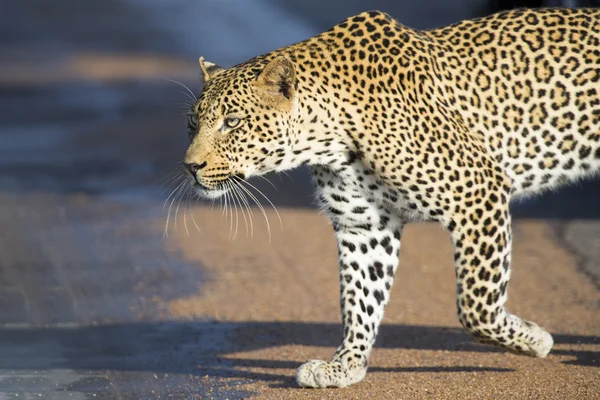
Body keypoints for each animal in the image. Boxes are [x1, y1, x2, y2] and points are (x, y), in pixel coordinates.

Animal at [180, 6, 600, 388]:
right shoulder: (363, 224)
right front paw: (345, 365)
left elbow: (476, 305)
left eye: (232, 123)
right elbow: (361, 298)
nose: (190, 166)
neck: (328, 136)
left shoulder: (479, 192)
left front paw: (534, 339)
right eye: (192, 124)